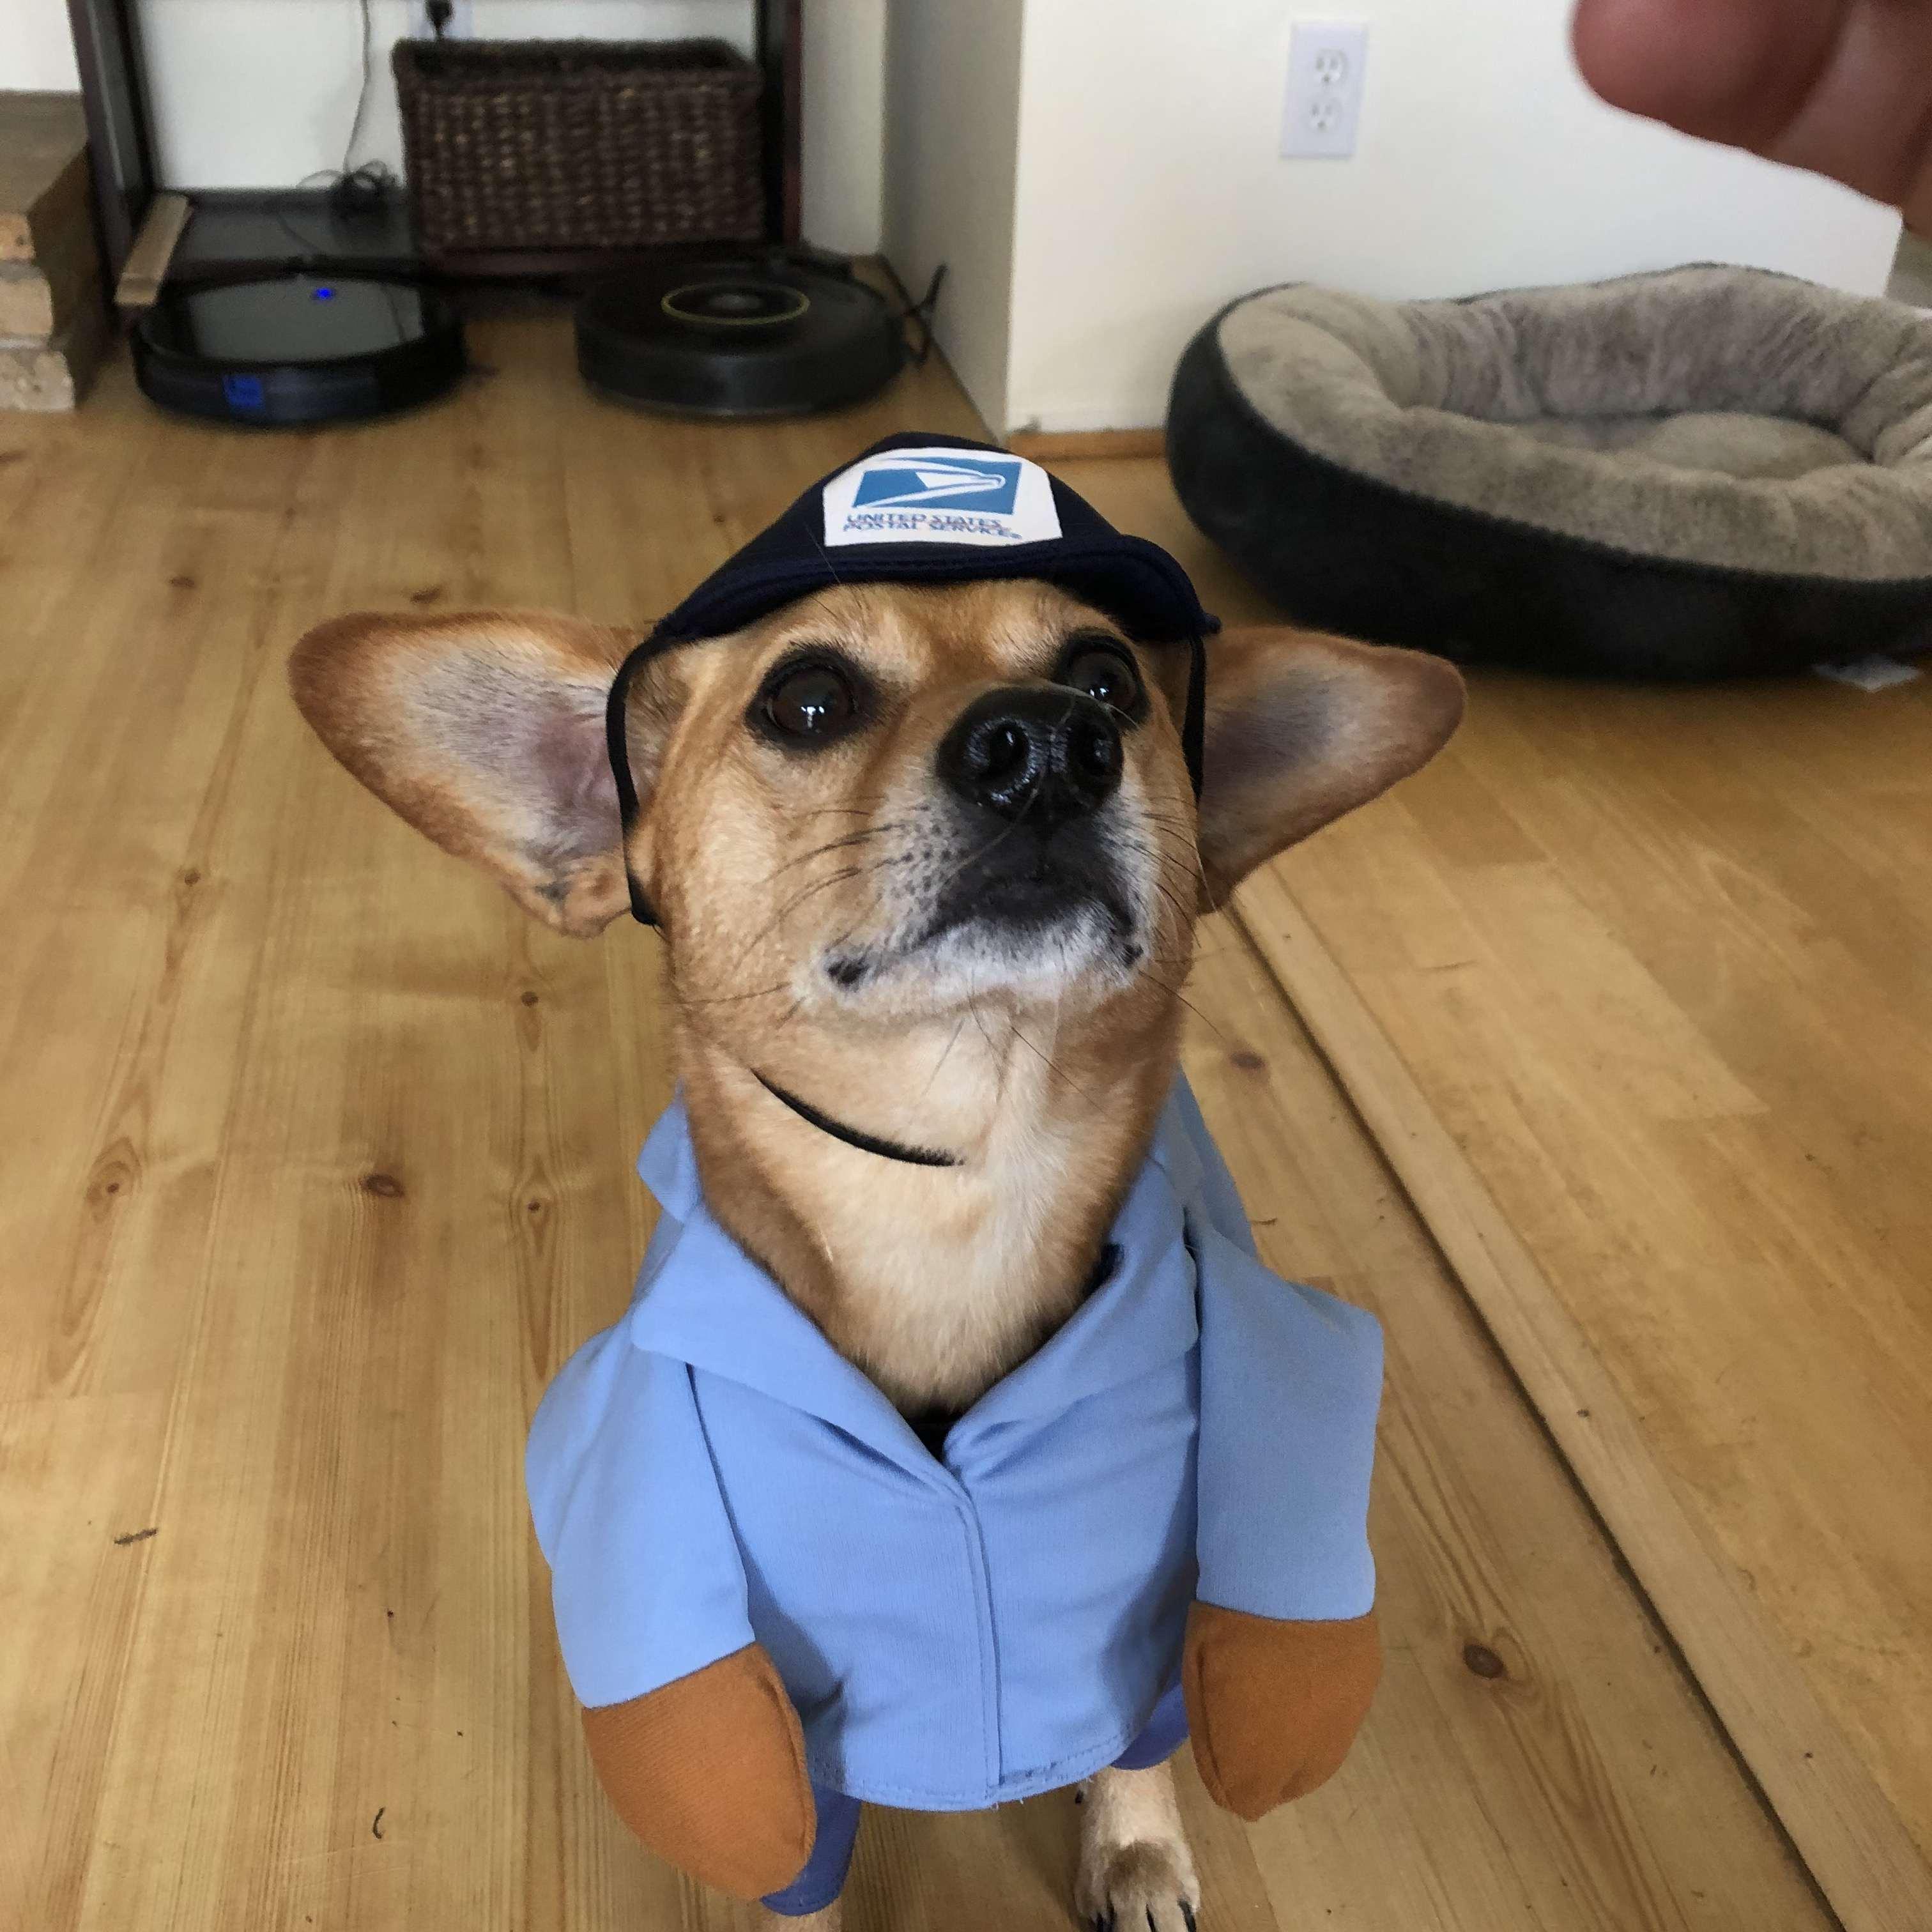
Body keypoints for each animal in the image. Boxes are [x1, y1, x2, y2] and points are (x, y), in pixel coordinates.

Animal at [291, 441, 1462, 1932]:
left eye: (1109, 682)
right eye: (806, 698)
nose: (1050, 744)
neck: (957, 1180)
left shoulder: (1150, 1606)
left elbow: (1142, 1739)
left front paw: (1135, 1849)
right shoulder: (760, 1711)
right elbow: (788, 1846)